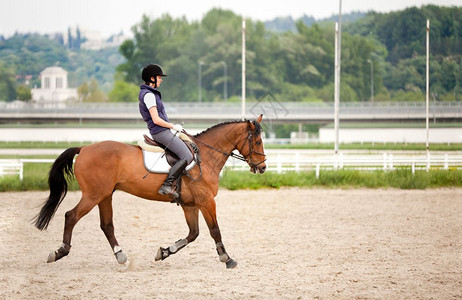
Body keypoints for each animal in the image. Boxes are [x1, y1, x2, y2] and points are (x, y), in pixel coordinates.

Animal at [33, 115, 268, 270]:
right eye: (257, 141)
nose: (263, 167)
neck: (206, 155)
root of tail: (83, 148)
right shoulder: (206, 201)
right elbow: (214, 231)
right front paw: (227, 259)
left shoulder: (190, 205)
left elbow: (193, 234)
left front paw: (164, 252)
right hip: (93, 195)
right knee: (71, 216)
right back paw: (60, 252)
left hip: (105, 195)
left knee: (106, 225)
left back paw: (121, 256)